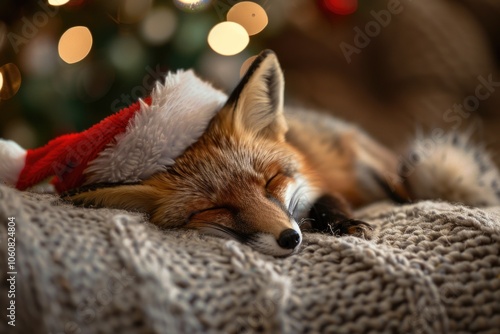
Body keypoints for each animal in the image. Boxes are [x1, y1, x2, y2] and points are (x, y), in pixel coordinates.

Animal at [0, 51, 500, 258]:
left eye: (271, 181)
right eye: (216, 208)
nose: (290, 239)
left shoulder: (319, 185)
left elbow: (327, 202)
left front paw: (343, 223)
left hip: (377, 167)